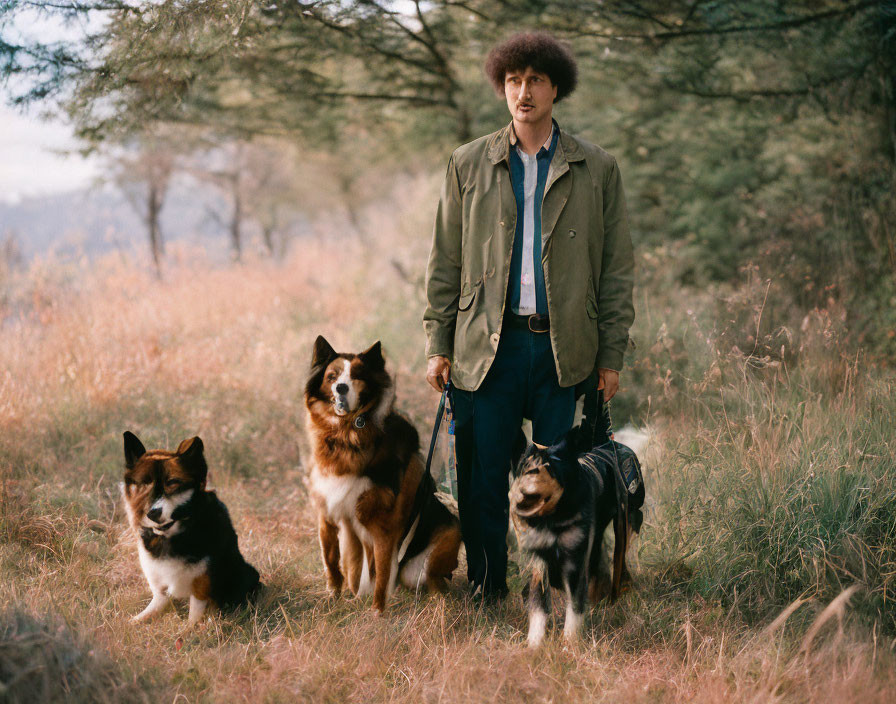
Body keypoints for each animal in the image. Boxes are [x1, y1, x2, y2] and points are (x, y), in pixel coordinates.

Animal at [120, 432, 260, 624]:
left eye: (172, 482)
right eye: (145, 483)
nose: (153, 513)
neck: (173, 537)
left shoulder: (201, 585)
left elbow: (193, 618)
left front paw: (191, 630)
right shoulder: (159, 587)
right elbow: (155, 605)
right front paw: (135, 621)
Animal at [306, 334, 462, 612]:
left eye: (357, 376)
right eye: (332, 376)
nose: (341, 389)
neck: (347, 436)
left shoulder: (384, 526)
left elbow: (381, 572)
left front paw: (378, 612)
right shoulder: (327, 511)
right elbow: (332, 561)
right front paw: (333, 597)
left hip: (431, 555)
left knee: (434, 584)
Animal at [512, 434, 644, 648]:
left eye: (551, 466)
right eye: (524, 467)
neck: (555, 519)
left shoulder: (576, 561)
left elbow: (574, 608)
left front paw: (569, 645)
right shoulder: (541, 562)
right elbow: (539, 602)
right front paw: (534, 644)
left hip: (627, 520)